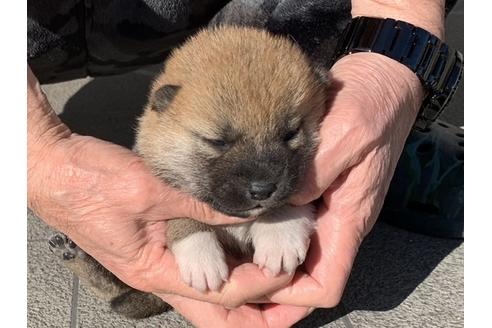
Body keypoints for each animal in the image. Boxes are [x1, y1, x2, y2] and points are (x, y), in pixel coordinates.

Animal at [49, 26, 326, 320]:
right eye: (217, 141)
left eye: (290, 134)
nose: (262, 189)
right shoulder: (167, 190)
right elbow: (183, 217)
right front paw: (200, 257)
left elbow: (289, 201)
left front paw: (279, 234)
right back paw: (72, 254)